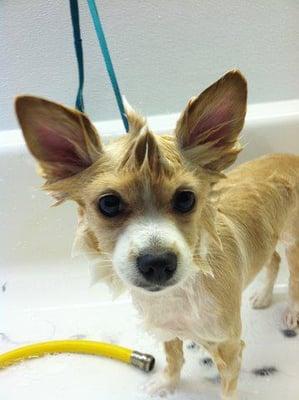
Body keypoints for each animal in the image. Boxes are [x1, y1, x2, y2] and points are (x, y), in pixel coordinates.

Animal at [15, 72, 298, 400]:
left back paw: (290, 313)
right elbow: (174, 359)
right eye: (108, 204)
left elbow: (227, 389)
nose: (157, 263)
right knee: (272, 261)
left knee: (292, 279)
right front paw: (166, 385)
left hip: (293, 242)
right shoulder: (166, 329)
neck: (178, 295)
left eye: (186, 199)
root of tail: (290, 157)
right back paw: (263, 296)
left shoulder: (229, 348)